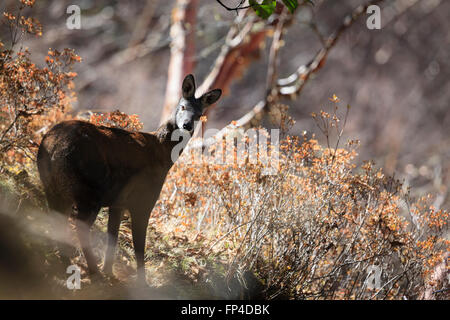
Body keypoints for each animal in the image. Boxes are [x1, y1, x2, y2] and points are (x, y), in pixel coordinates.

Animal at [37, 74, 221, 282]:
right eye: (182, 106)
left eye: (199, 115)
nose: (187, 125)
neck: (163, 155)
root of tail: (52, 147)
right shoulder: (143, 200)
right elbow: (139, 247)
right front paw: (142, 282)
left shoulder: (118, 202)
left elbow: (113, 237)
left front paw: (110, 271)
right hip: (89, 192)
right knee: (80, 226)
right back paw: (92, 271)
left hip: (53, 188)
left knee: (56, 221)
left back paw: (63, 262)